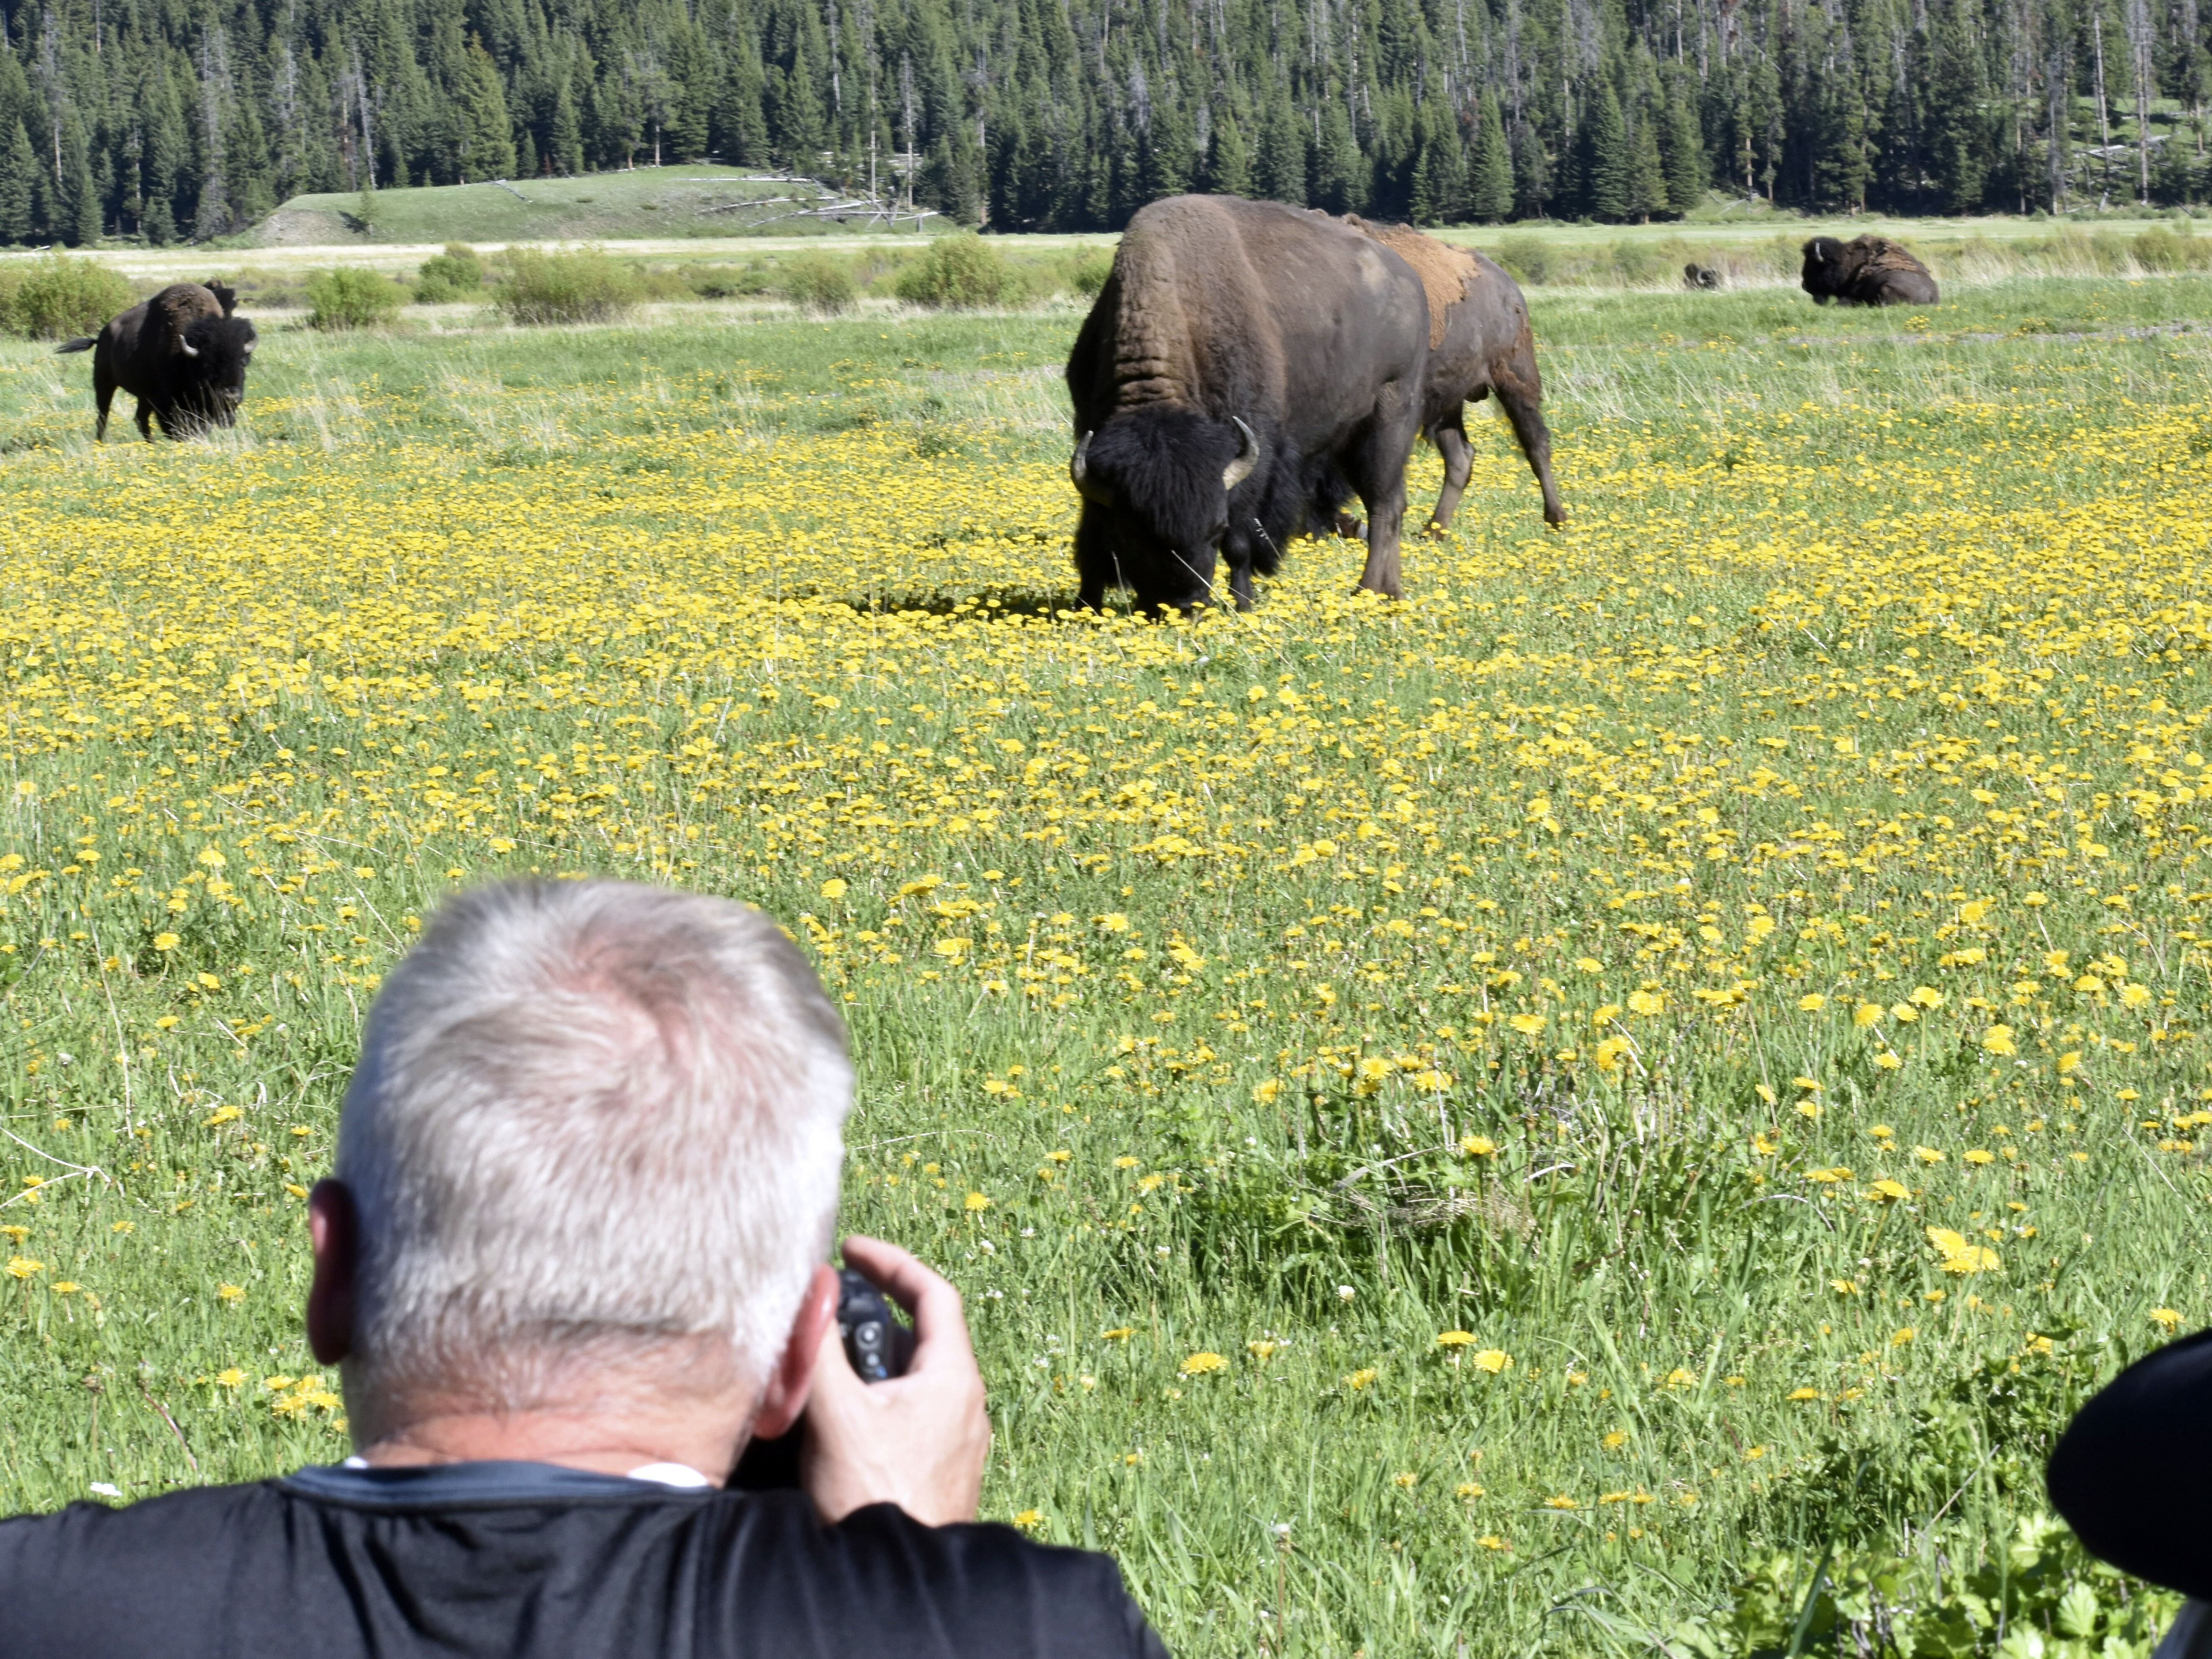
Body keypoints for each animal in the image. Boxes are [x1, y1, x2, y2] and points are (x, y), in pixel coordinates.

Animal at [57, 280, 257, 441]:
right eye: (208, 366)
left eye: (243, 363)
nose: (231, 397)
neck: (186, 358)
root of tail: (102, 336)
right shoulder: (167, 401)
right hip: (104, 383)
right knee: (103, 415)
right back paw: (100, 442)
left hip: (143, 395)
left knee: (140, 418)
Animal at [1065, 194, 1429, 611]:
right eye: (1131, 534)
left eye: (1216, 528)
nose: (1185, 604)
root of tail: (1410, 279)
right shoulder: (1092, 445)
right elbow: (1090, 535)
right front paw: (1084, 605)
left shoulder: (1251, 452)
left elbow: (1240, 541)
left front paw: (1243, 602)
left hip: (1388, 421)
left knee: (1385, 505)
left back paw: (1373, 591)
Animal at [1344, 218, 1564, 535]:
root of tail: (1508, 288)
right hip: (1447, 401)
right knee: (1461, 457)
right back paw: (1434, 530)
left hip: (1514, 380)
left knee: (1536, 443)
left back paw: (1557, 518)